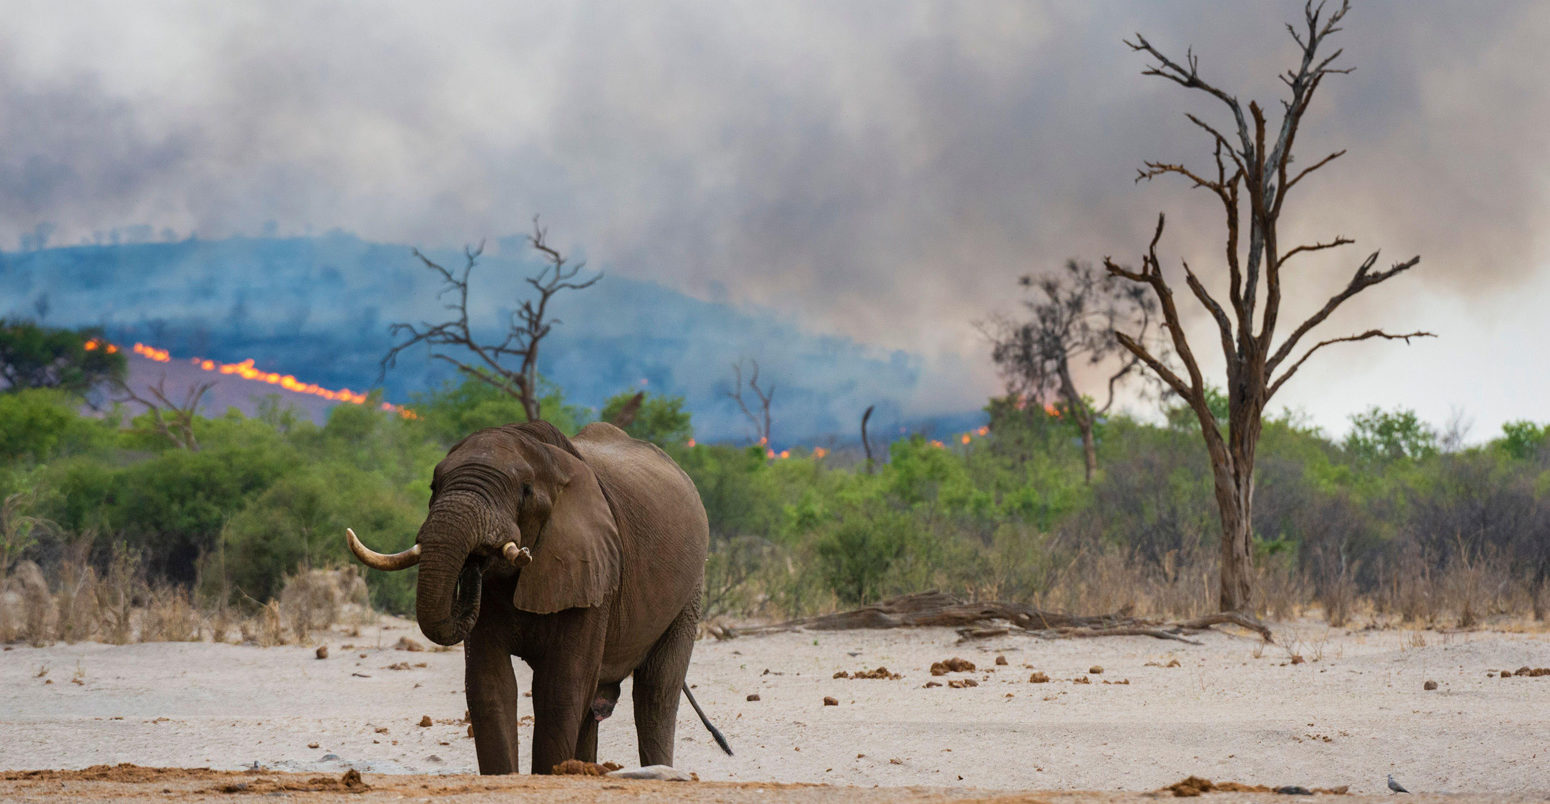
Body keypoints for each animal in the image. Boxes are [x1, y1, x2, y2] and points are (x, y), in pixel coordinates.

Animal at [345, 421, 725, 774]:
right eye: (433, 487)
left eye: (525, 492)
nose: (475, 560)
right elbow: (489, 682)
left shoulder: (593, 569)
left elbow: (560, 686)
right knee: (596, 703)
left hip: (690, 589)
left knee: (656, 691)